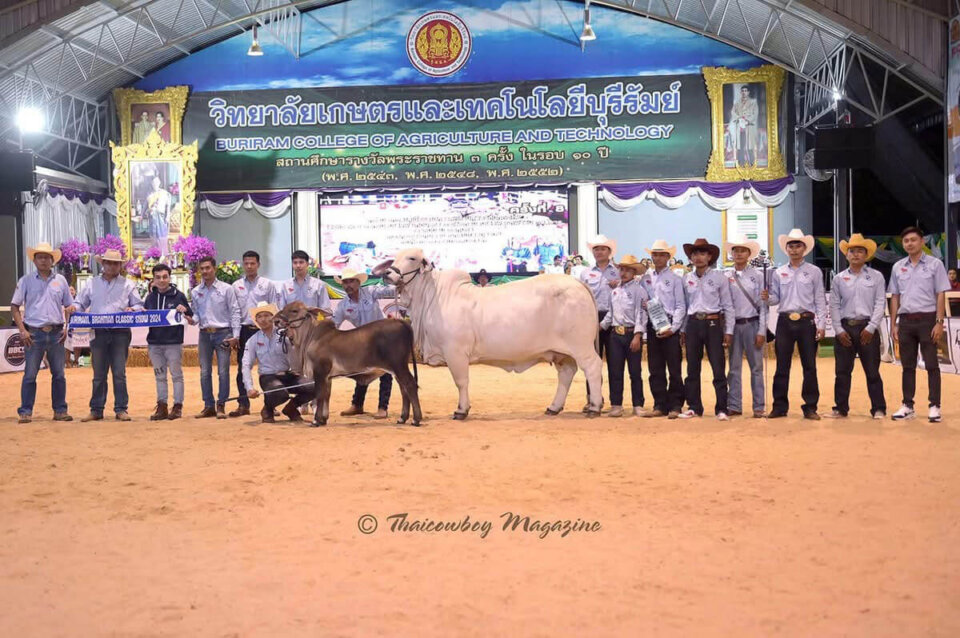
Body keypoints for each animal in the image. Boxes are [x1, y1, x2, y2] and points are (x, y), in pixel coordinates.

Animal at [273, 301, 422, 427]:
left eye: (294, 310)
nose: (276, 320)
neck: (311, 337)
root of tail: (399, 321)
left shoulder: (320, 371)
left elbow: (319, 394)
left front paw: (316, 420)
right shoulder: (328, 377)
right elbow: (326, 395)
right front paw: (323, 419)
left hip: (399, 366)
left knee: (410, 385)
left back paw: (415, 419)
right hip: (396, 370)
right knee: (404, 389)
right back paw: (402, 418)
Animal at [377, 248, 603, 419]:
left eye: (412, 258)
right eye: (394, 258)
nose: (388, 273)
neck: (432, 297)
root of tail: (577, 283)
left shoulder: (455, 352)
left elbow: (461, 382)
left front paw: (462, 410)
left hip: (581, 346)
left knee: (593, 368)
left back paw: (594, 406)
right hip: (561, 353)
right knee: (566, 374)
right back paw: (554, 407)